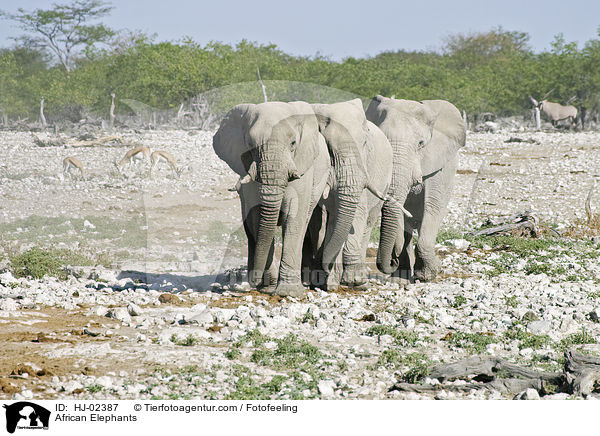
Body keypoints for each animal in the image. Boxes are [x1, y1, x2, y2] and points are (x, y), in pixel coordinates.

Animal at [213, 102, 330, 296]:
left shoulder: (303, 165)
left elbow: (294, 217)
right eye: (250, 145)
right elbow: (256, 218)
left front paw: (288, 292)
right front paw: (269, 287)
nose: (253, 282)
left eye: (293, 143)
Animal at [364, 95, 466, 282]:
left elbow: (432, 206)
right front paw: (402, 277)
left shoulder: (437, 164)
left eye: (421, 144)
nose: (393, 260)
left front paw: (429, 274)